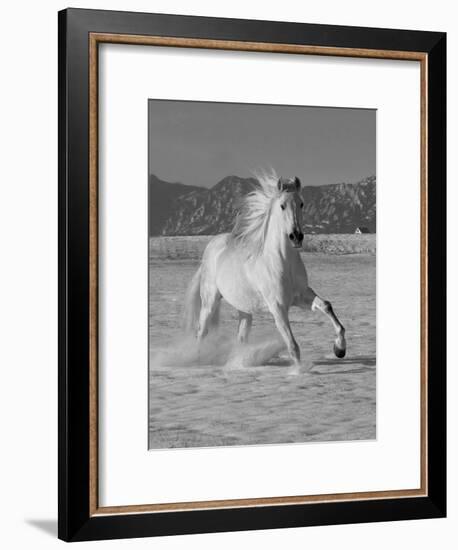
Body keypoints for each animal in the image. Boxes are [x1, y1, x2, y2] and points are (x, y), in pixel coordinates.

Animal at [182, 172, 348, 370]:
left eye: (301, 203)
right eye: (282, 205)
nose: (296, 236)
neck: (283, 262)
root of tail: (211, 247)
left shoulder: (301, 296)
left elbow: (326, 306)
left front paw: (339, 349)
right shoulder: (278, 307)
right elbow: (293, 346)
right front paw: (299, 372)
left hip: (244, 308)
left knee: (241, 337)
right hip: (210, 301)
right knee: (201, 331)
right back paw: (198, 360)